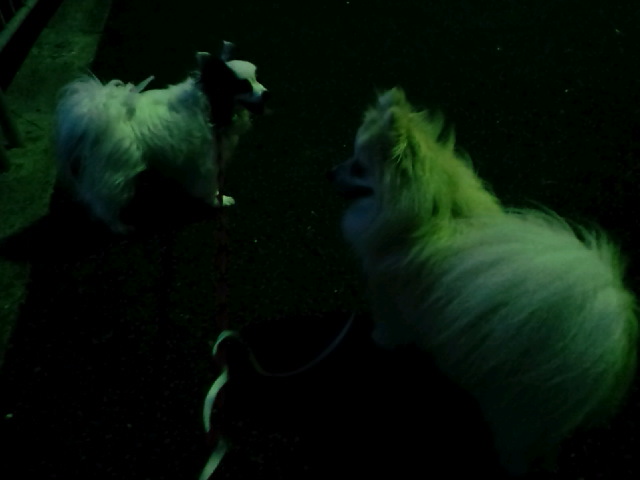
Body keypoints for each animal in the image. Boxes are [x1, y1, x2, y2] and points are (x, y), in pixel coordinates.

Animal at [54, 41, 269, 233]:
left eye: (257, 79)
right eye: (243, 86)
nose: (266, 94)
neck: (211, 107)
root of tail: (95, 114)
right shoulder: (207, 162)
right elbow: (210, 187)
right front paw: (219, 201)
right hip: (118, 173)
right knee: (104, 204)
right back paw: (120, 227)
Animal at [329, 87, 638, 476]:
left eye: (358, 166)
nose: (330, 171)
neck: (436, 217)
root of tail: (603, 327)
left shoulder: (390, 297)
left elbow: (390, 327)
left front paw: (381, 341)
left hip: (518, 409)